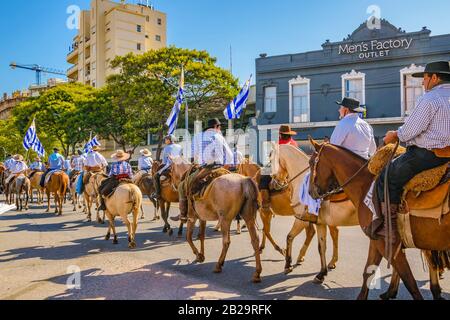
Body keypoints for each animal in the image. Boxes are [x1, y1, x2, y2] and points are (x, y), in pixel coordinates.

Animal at [310, 140, 450, 300]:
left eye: (312, 163)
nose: (311, 192)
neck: (365, 185)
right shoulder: (376, 240)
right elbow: (369, 271)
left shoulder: (386, 243)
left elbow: (409, 280)